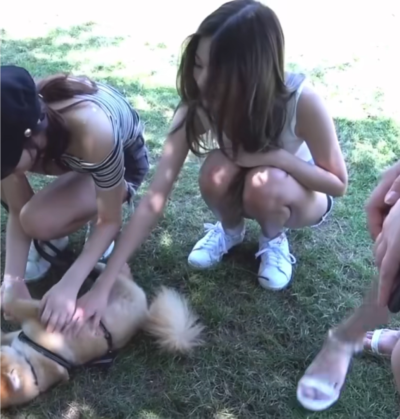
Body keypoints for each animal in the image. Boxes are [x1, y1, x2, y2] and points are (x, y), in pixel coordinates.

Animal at [0, 264, 203, 408]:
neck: (31, 366)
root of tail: (146, 315)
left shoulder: (36, 315)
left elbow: (12, 303)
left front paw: (8, 288)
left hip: (116, 286)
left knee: (114, 273)